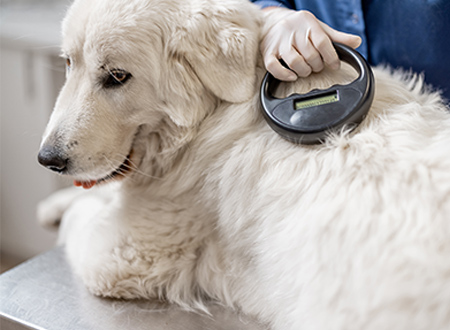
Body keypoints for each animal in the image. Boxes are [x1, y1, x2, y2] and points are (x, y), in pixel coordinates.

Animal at [37, 0, 450, 328]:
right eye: (69, 63)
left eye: (117, 77)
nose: (48, 160)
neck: (213, 114)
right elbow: (90, 199)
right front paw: (54, 203)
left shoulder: (121, 255)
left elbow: (83, 217)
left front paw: (67, 211)